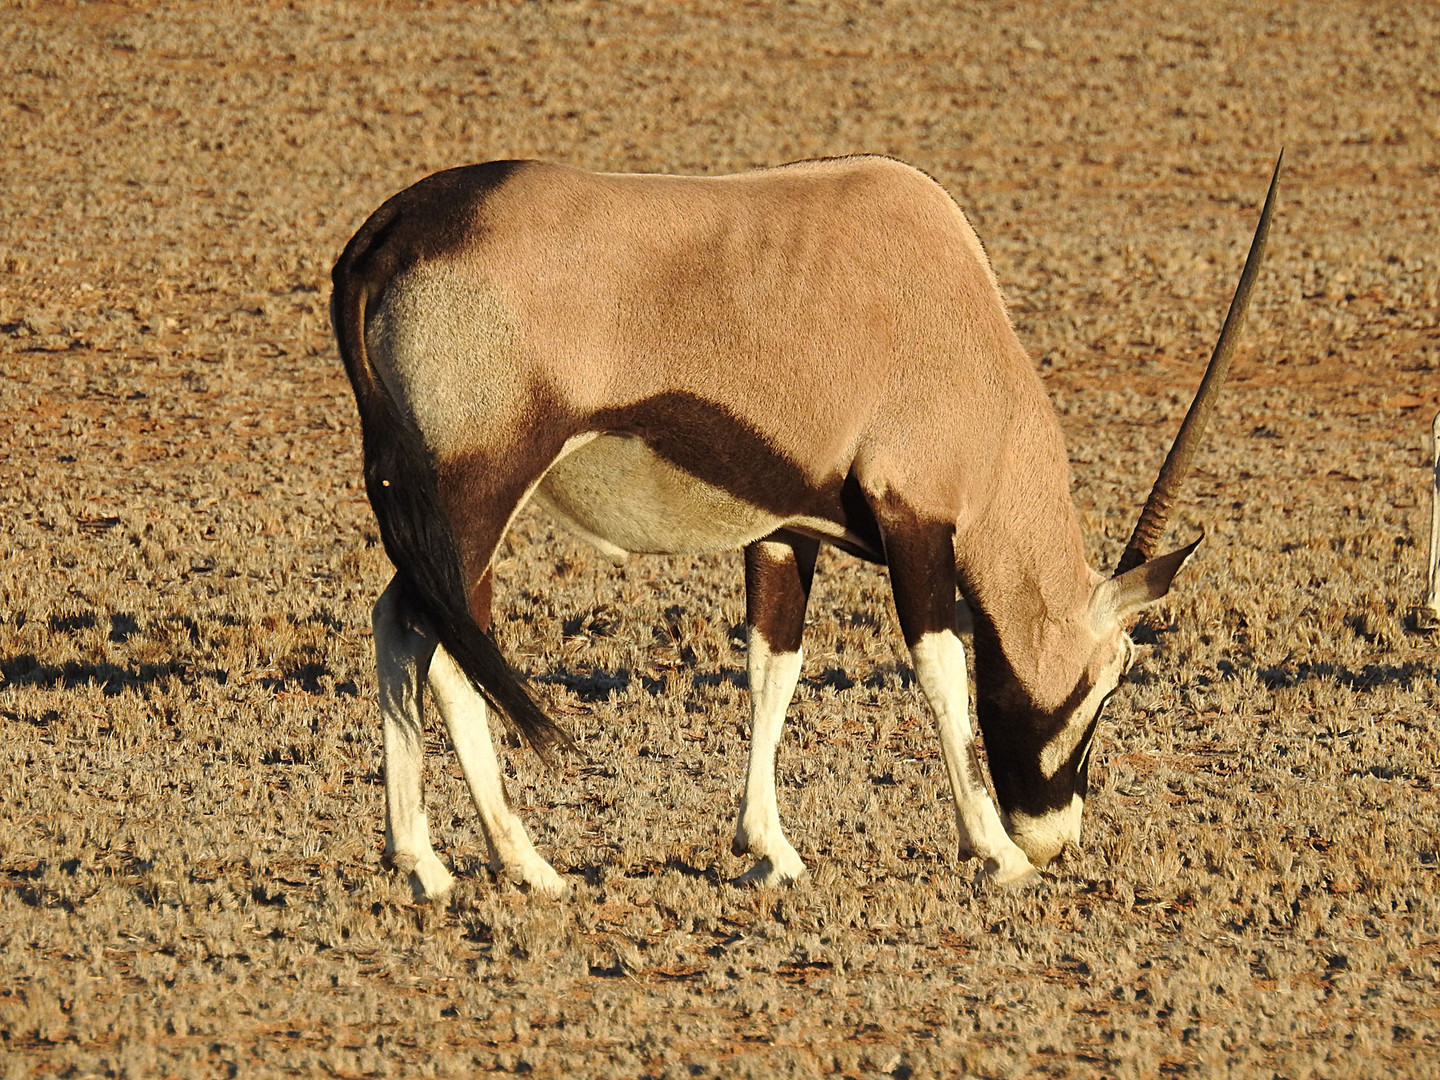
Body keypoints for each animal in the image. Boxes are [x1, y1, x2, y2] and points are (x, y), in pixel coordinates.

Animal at [331, 150, 1278, 898]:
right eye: (1112, 676)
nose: (1056, 838)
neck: (960, 320)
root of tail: (389, 231)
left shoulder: (787, 531)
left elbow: (772, 666)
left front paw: (769, 849)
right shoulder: (915, 520)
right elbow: (939, 669)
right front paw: (994, 851)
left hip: (445, 508)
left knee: (411, 627)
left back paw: (447, 863)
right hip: (478, 492)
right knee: (435, 637)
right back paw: (499, 863)